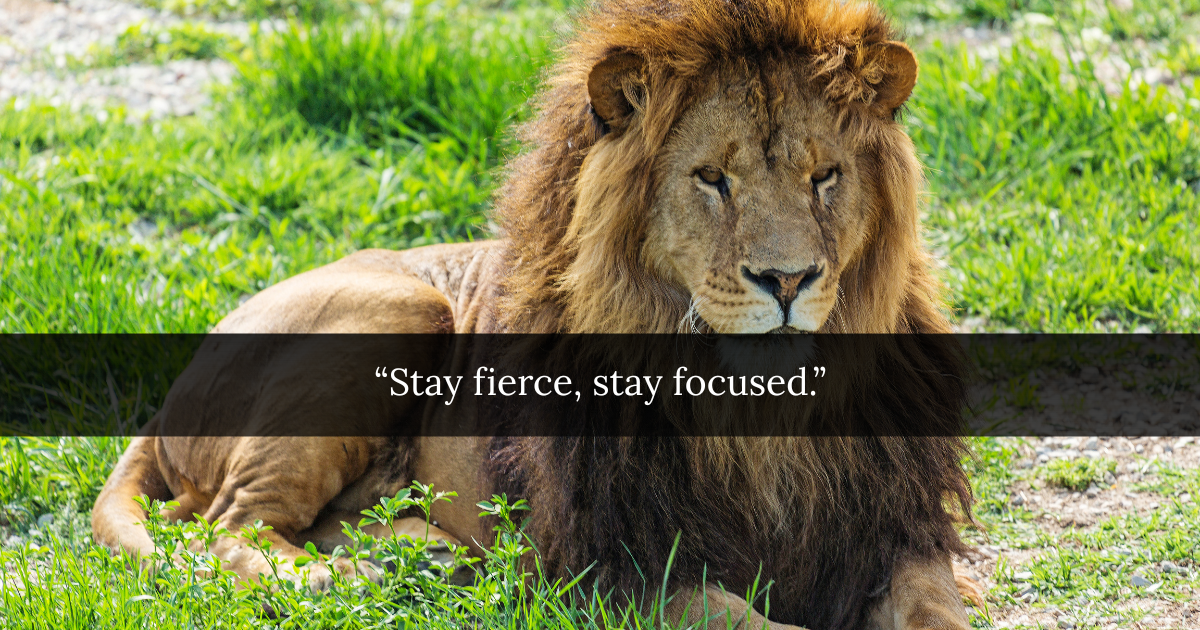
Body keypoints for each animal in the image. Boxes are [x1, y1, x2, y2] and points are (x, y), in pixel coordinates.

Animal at [92, 0, 985, 628]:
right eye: (712, 179)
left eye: (824, 176)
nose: (788, 279)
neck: (762, 423)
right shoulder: (621, 565)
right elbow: (745, 621)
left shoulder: (893, 534)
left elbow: (937, 608)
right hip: (397, 307)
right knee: (222, 527)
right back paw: (338, 577)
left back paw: (420, 556)